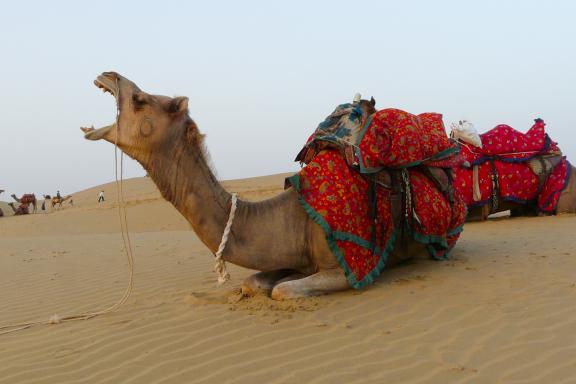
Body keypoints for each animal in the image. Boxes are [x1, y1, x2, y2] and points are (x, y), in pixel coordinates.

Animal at [81, 72, 456, 300]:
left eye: (140, 99)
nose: (108, 75)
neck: (294, 216)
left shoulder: (348, 268)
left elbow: (282, 291)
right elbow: (252, 283)